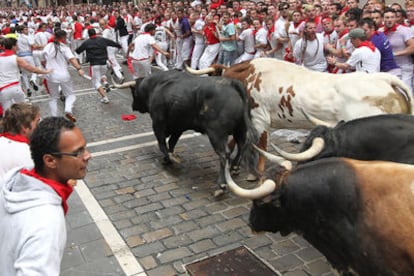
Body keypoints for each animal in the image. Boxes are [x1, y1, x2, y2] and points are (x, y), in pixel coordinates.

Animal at [128, 70, 258, 193]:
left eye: (133, 93)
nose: (133, 106)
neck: (156, 85)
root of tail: (231, 83)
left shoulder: (158, 122)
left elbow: (162, 143)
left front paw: (167, 159)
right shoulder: (179, 127)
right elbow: (172, 142)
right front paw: (172, 156)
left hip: (216, 133)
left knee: (224, 154)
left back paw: (221, 184)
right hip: (240, 129)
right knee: (241, 146)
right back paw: (234, 168)